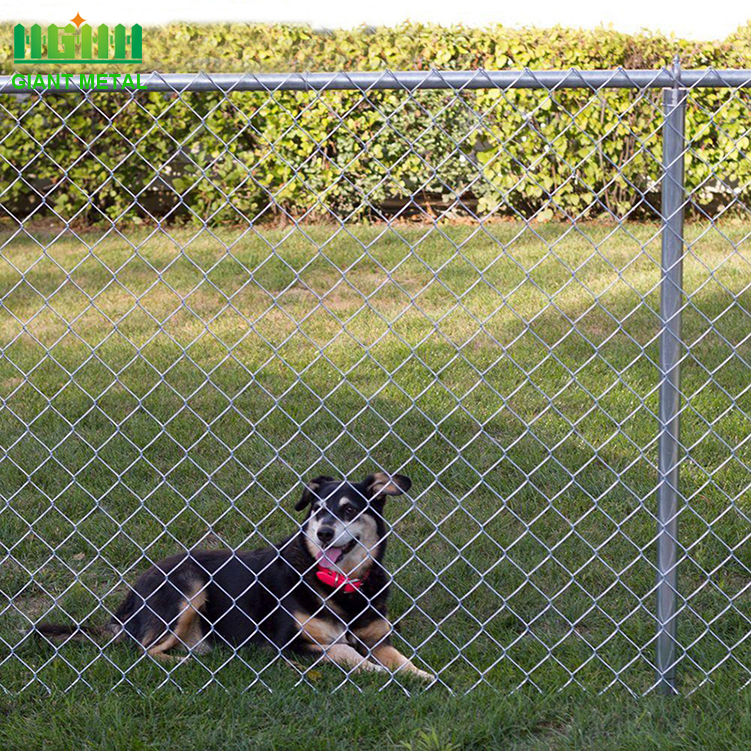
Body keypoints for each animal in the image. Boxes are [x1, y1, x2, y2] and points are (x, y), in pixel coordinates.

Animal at [36, 476, 434, 680]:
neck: (341, 583)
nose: (322, 533)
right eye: (318, 509)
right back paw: (183, 663)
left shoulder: (377, 638)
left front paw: (422, 675)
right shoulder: (289, 642)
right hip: (188, 587)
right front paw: (379, 672)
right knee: (142, 650)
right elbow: (345, 651)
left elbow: (401, 659)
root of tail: (128, 602)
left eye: (349, 510)